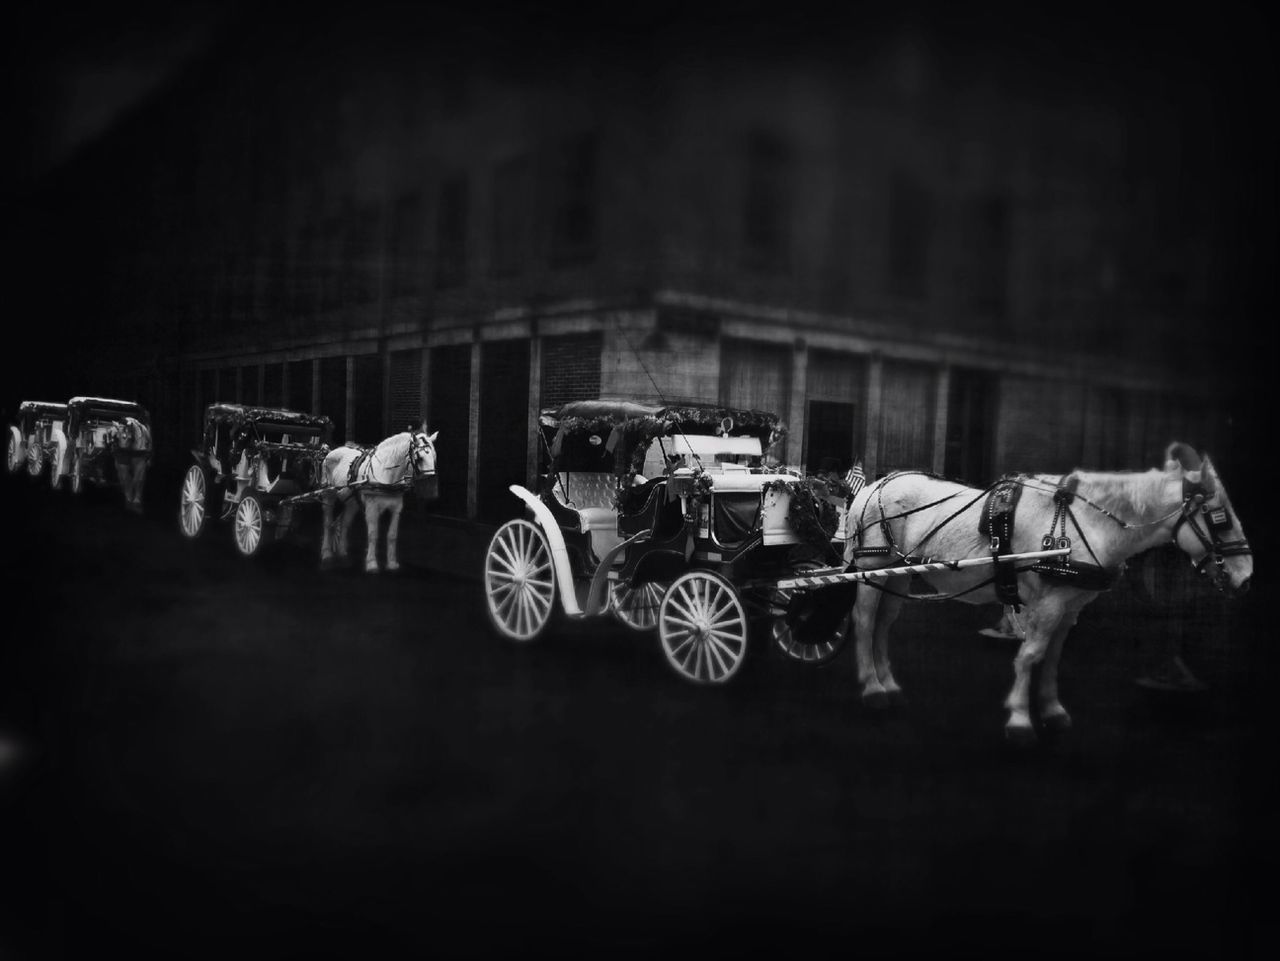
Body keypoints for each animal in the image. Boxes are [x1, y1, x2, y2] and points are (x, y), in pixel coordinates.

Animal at [320, 427, 440, 570]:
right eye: (420, 458)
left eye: (434, 457)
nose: (431, 490)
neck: (386, 474)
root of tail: (330, 452)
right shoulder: (372, 508)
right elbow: (373, 534)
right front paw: (371, 563)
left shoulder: (396, 508)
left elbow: (392, 535)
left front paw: (392, 563)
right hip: (328, 496)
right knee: (327, 523)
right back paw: (326, 552)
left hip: (352, 502)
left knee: (345, 523)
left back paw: (342, 551)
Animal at [844, 442, 1254, 742]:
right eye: (1220, 518)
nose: (1247, 577)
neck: (1086, 524)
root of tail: (877, 484)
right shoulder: (1048, 603)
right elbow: (1030, 655)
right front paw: (1020, 718)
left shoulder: (1070, 607)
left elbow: (1053, 658)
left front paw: (1052, 709)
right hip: (871, 565)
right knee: (864, 620)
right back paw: (871, 688)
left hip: (897, 574)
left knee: (884, 623)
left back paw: (888, 683)